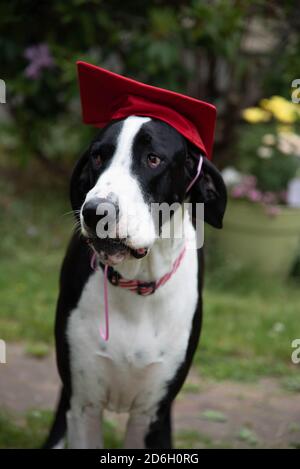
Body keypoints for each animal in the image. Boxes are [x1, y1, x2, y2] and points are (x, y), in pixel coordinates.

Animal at [44, 115, 226, 448]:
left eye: (153, 159)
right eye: (97, 157)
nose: (95, 212)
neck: (138, 282)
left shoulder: (151, 414)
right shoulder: (84, 404)